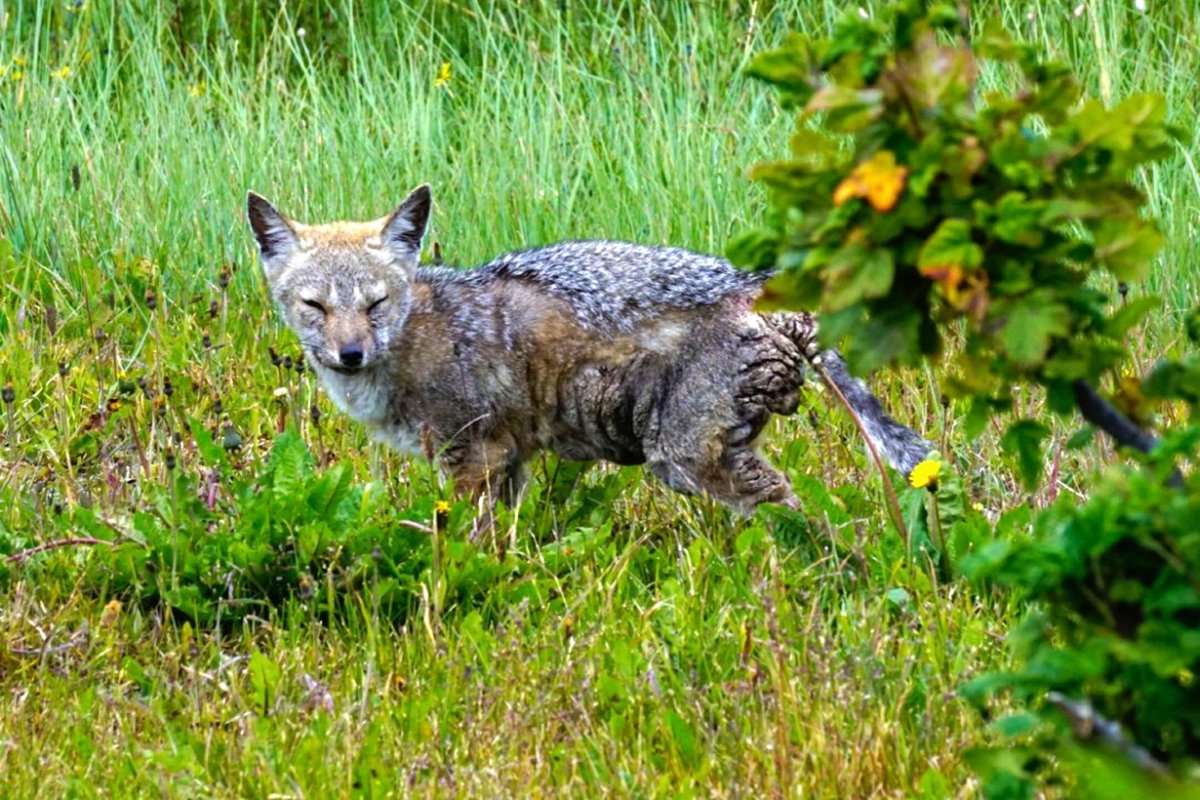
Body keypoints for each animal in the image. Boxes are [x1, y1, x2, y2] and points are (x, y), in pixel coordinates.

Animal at [246, 184, 931, 514]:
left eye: (375, 304)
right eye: (315, 307)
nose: (350, 354)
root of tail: (758, 285)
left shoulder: (474, 458)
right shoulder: (509, 462)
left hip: (684, 460)